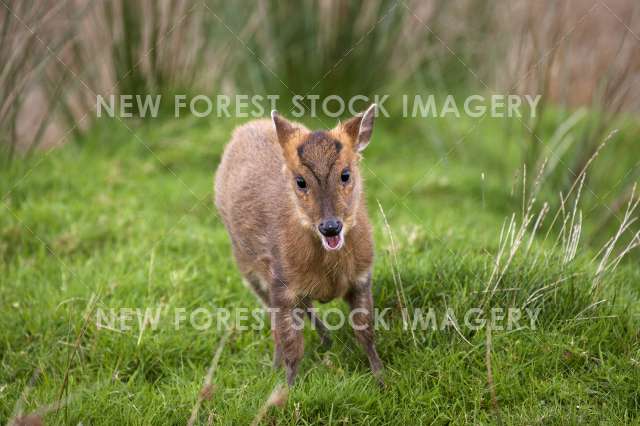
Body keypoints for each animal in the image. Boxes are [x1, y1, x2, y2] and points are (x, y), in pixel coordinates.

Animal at [215, 104, 384, 386]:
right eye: (300, 181)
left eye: (345, 174)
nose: (330, 226)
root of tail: (244, 128)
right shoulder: (280, 282)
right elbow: (292, 347)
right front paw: (287, 388)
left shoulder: (362, 277)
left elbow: (366, 333)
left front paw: (382, 379)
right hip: (245, 264)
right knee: (277, 319)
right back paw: (277, 363)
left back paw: (326, 340)